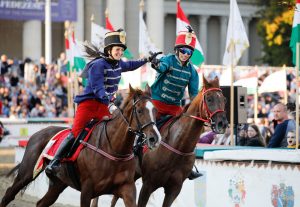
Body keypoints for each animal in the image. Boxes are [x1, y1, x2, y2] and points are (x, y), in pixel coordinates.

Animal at [0, 86, 162, 207]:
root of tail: (36, 134)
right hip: (26, 173)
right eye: (139, 110)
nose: (155, 138)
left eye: (155, 110)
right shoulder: (87, 190)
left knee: (41, 203)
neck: (113, 148)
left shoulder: (127, 188)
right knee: (8, 194)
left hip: (58, 183)